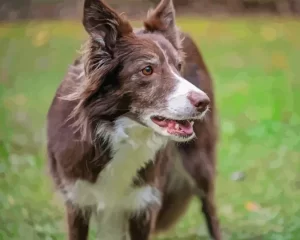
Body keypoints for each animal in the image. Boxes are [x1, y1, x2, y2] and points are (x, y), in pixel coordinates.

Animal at [46, 0, 220, 240]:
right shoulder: (76, 201)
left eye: (179, 67)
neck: (119, 135)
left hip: (200, 164)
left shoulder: (143, 205)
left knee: (211, 212)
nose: (204, 102)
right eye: (147, 69)